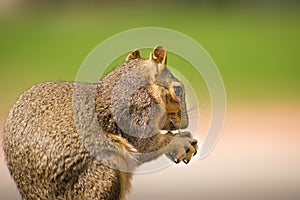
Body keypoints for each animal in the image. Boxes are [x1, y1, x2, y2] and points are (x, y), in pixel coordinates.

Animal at [3, 45, 199, 200]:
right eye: (177, 90)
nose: (185, 123)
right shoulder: (138, 111)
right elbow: (144, 145)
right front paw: (180, 141)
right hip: (107, 172)